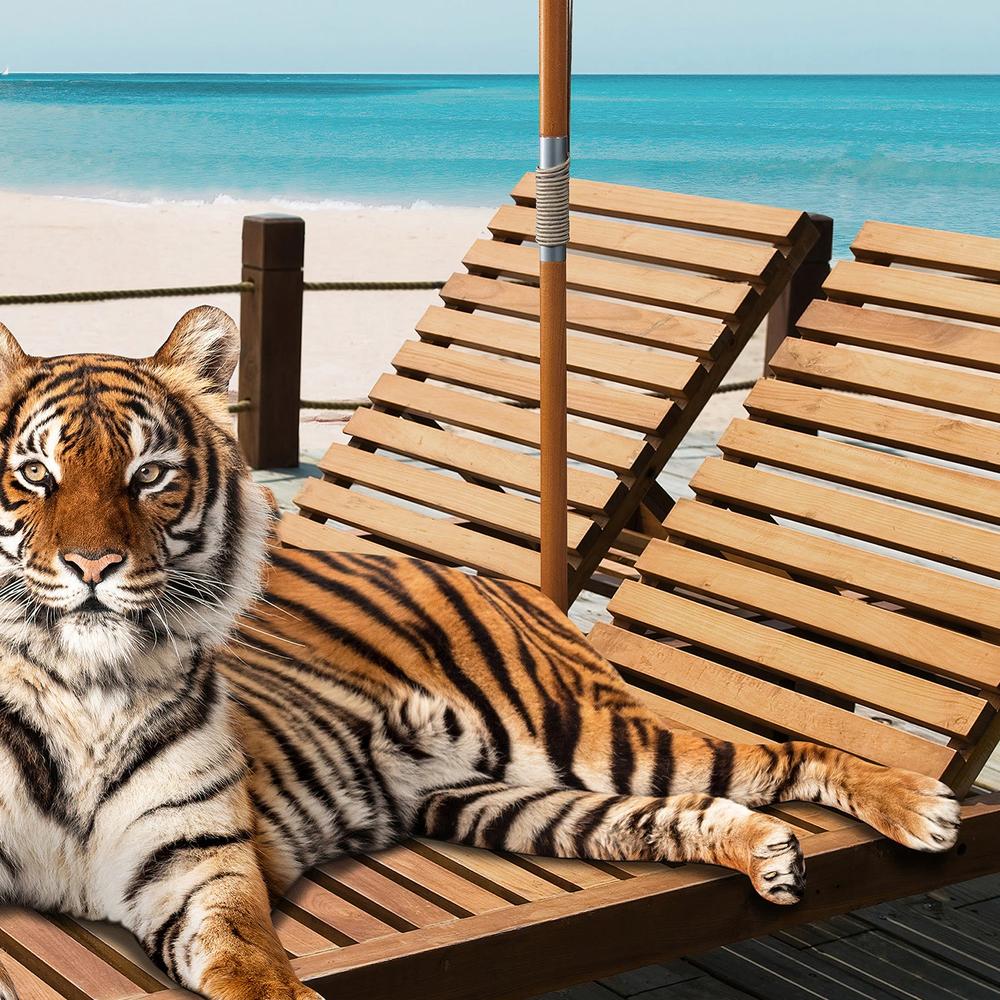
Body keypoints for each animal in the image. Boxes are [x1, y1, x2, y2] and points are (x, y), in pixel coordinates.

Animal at [0, 305, 960, 1000]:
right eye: (35, 474)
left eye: (150, 476)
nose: (93, 566)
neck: (87, 694)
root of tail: (512, 584)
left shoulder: (203, 871)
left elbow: (257, 974)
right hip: (497, 802)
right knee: (671, 814)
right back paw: (768, 851)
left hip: (590, 736)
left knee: (778, 751)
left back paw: (919, 807)